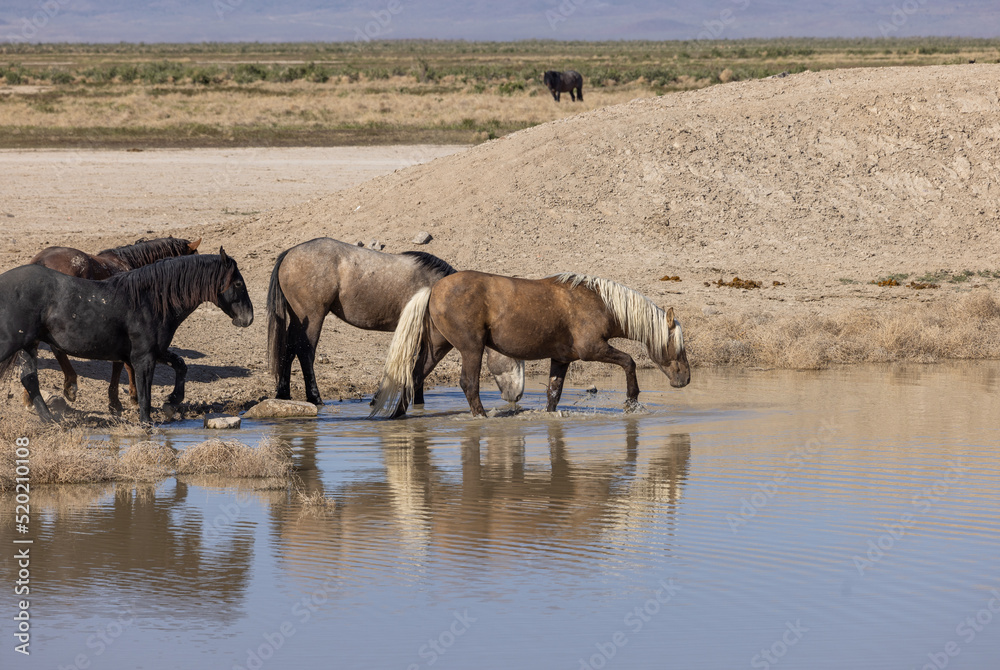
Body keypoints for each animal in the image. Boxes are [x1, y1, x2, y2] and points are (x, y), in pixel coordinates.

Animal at [266, 237, 523, 406]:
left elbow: (418, 364)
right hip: (314, 317)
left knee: (289, 350)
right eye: (514, 358)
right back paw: (315, 397)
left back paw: (283, 394)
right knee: (305, 352)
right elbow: (416, 363)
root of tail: (289, 254)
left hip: (298, 319)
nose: (518, 396)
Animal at [371, 271, 689, 418]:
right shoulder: (593, 351)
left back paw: (398, 414)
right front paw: (632, 400)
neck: (598, 302)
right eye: (678, 345)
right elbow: (629, 362)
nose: (685, 379)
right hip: (471, 349)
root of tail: (434, 288)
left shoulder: (562, 359)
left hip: (439, 347)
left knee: (414, 376)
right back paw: (482, 417)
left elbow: (553, 394)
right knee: (468, 384)